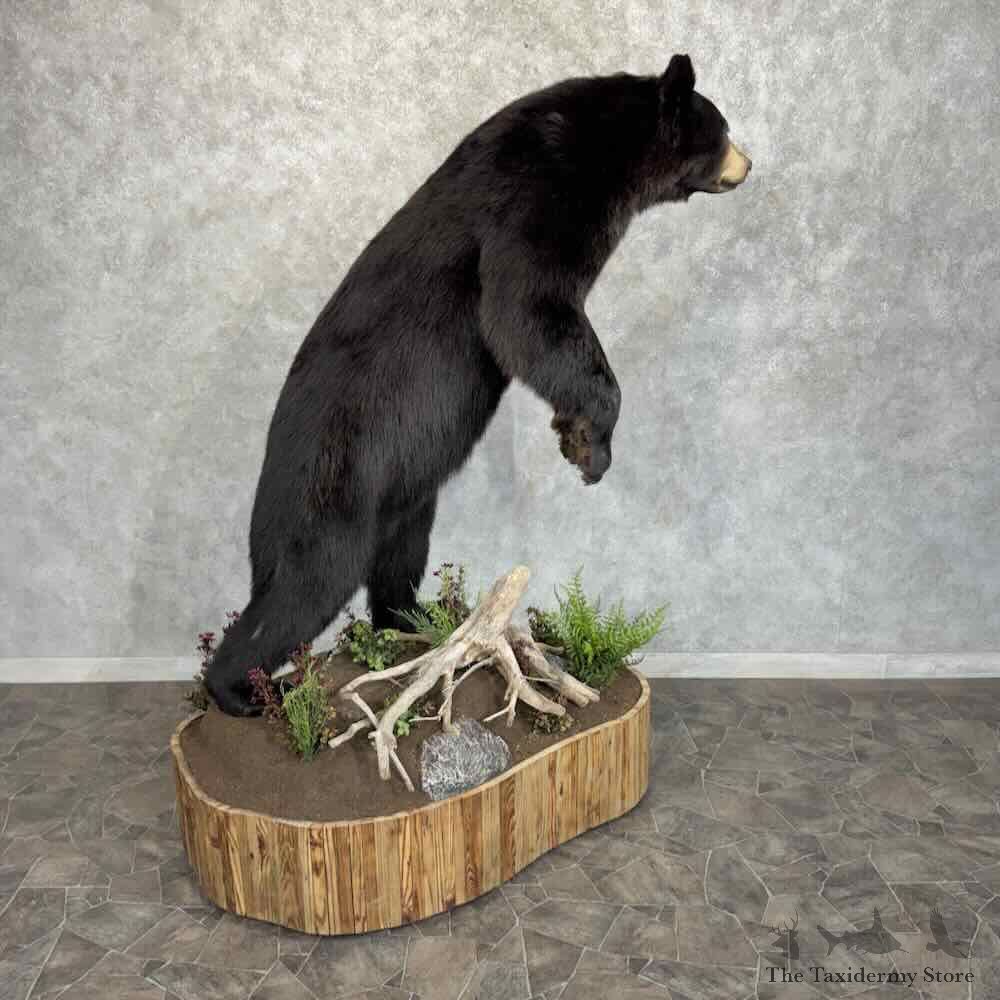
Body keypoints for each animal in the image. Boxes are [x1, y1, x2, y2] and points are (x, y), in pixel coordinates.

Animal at [205, 53, 751, 716]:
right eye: (723, 129)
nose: (748, 163)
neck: (604, 149)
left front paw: (572, 433)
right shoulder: (541, 194)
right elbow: (525, 307)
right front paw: (590, 445)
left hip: (404, 500)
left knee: (396, 560)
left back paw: (414, 621)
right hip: (333, 489)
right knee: (304, 587)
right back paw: (240, 689)